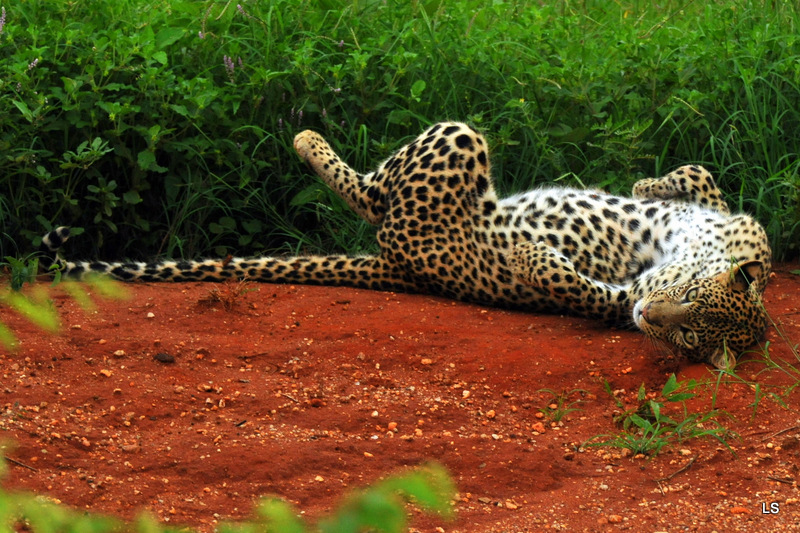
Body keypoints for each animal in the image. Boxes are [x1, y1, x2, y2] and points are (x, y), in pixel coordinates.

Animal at [40, 122, 772, 368]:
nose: (653, 317)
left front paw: (533, 258)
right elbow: (701, 178)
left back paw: (306, 137)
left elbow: (574, 287)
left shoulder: (614, 297)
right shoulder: (726, 224)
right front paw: (649, 182)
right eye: (689, 305)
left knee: (369, 195)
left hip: (453, 146)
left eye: (691, 338)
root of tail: (399, 268)